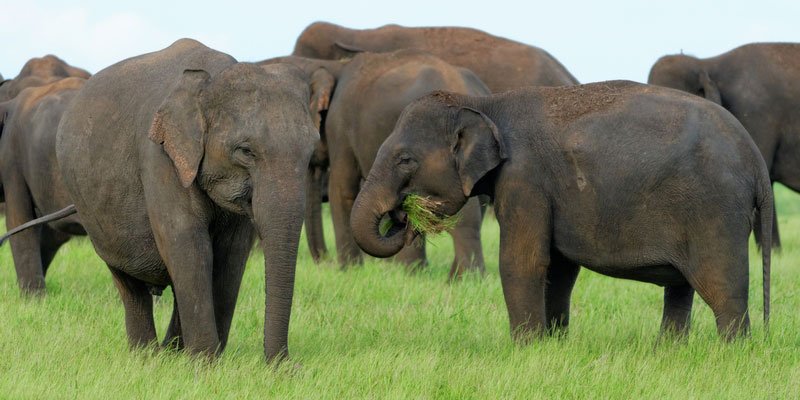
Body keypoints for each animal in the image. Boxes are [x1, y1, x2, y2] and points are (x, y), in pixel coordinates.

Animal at [52, 39, 317, 360]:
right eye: (245, 151)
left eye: (312, 149)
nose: (288, 366)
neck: (210, 81)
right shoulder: (159, 157)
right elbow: (186, 241)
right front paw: (205, 362)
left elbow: (231, 252)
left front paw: (205, 358)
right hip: (94, 216)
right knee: (128, 283)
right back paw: (147, 356)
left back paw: (170, 351)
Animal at [260, 49, 490, 278]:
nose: (324, 263)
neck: (333, 65)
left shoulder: (340, 126)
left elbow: (342, 190)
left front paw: (349, 271)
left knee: (465, 216)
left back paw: (461, 278)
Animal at [351, 81, 773, 343]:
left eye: (405, 159)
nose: (404, 217)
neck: (485, 105)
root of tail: (756, 159)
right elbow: (558, 269)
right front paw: (553, 344)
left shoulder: (524, 178)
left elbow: (523, 261)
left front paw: (525, 349)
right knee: (681, 288)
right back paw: (668, 351)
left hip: (715, 210)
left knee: (722, 289)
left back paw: (732, 352)